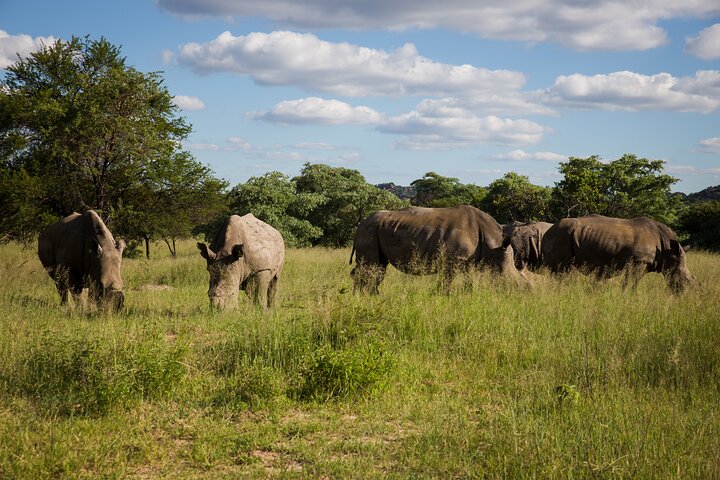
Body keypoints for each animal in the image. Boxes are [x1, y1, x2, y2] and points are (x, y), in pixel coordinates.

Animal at [350, 205, 520, 294]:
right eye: (513, 282)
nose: (524, 292)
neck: (494, 244)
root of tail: (360, 225)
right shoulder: (453, 259)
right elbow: (448, 281)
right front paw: (444, 296)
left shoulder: (467, 261)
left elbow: (468, 280)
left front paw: (467, 294)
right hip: (369, 230)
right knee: (370, 266)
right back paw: (363, 296)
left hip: (375, 229)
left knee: (378, 267)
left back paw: (371, 295)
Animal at [541, 215, 695, 292]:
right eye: (686, 279)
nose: (686, 294)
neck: (668, 250)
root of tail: (548, 231)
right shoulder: (639, 261)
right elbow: (633, 281)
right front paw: (628, 295)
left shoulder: (637, 261)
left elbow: (630, 281)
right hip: (560, 235)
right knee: (562, 271)